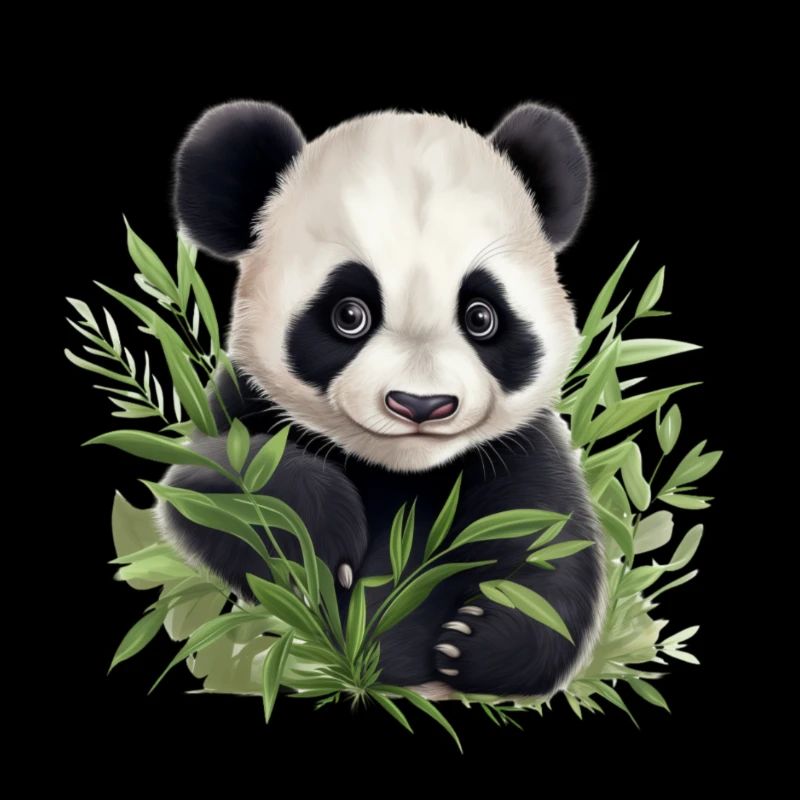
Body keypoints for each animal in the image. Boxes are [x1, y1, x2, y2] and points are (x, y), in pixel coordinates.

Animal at [161, 100, 606, 698]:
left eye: (481, 316)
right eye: (349, 314)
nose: (420, 404)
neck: (401, 469)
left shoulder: (520, 446)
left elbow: (552, 545)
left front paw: (476, 643)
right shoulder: (243, 402)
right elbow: (210, 480)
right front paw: (319, 542)